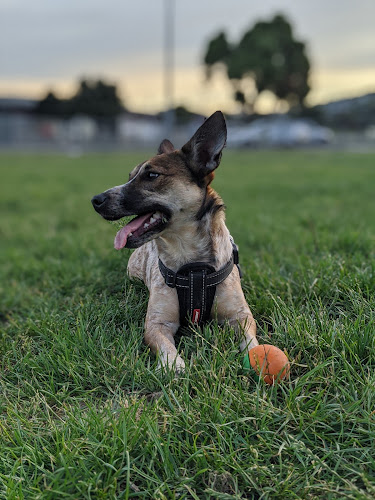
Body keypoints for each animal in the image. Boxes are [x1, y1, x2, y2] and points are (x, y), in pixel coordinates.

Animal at [92, 111, 258, 374]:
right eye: (130, 177)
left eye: (151, 175)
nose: (95, 200)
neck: (192, 264)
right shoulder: (158, 323)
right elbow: (164, 346)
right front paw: (174, 366)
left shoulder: (240, 316)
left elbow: (251, 339)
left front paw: (259, 357)